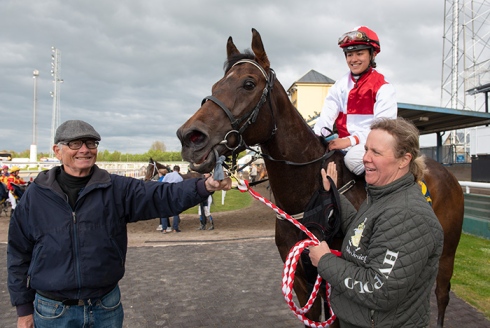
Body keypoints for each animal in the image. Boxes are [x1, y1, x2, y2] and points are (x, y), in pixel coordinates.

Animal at [176, 28, 464, 328]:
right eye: (215, 86)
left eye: (248, 83)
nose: (189, 137)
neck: (307, 199)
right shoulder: (303, 283)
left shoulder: (336, 282)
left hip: (448, 251)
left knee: (442, 293)